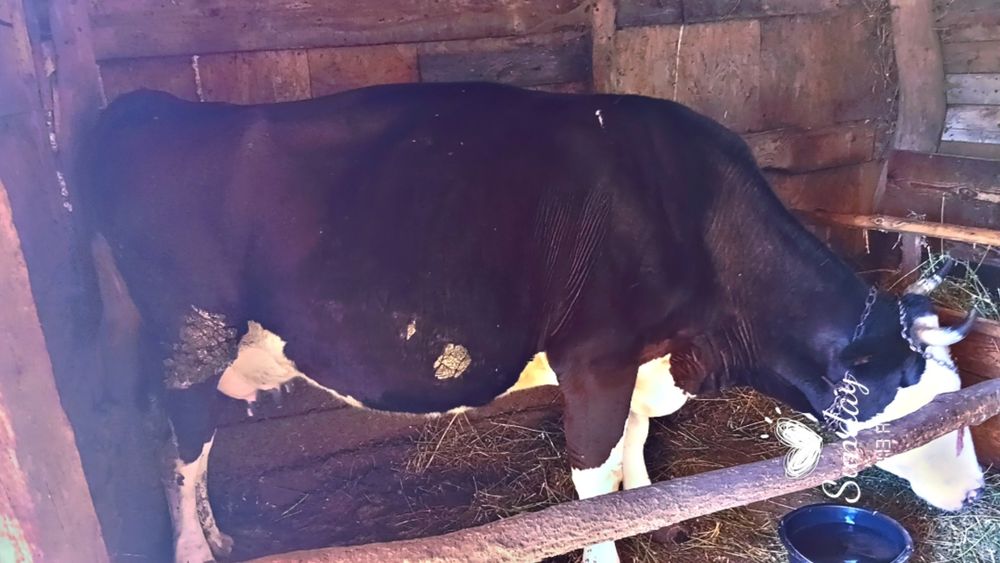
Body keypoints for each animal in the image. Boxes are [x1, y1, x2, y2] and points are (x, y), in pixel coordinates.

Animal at [80, 82, 984, 563]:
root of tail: (146, 107)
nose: (978, 488)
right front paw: (606, 546)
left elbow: (634, 464)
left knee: (183, 446)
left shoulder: (642, 361)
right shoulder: (596, 358)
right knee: (183, 447)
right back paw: (196, 547)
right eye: (937, 409)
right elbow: (594, 483)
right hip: (192, 336)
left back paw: (221, 533)